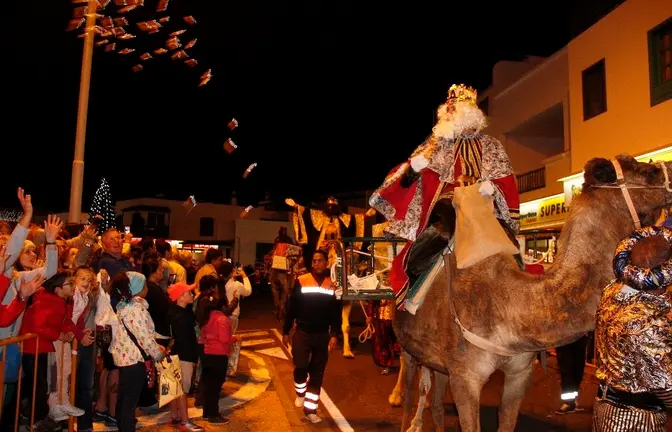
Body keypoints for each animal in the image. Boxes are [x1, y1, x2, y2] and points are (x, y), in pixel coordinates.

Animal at [386, 156, 668, 432]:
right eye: (649, 171)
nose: (667, 168)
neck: (511, 306)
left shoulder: (519, 373)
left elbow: (507, 420)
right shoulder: (465, 378)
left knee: (435, 403)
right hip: (408, 347)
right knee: (412, 392)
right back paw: (400, 405)